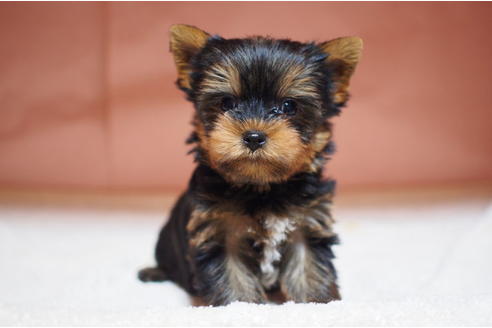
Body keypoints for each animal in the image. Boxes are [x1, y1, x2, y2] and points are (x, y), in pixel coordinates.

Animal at [138, 24, 362, 306]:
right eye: (226, 103)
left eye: (289, 106)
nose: (254, 136)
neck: (262, 187)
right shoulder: (219, 230)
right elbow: (233, 277)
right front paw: (240, 307)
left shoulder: (307, 221)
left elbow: (310, 268)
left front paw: (318, 303)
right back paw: (154, 272)